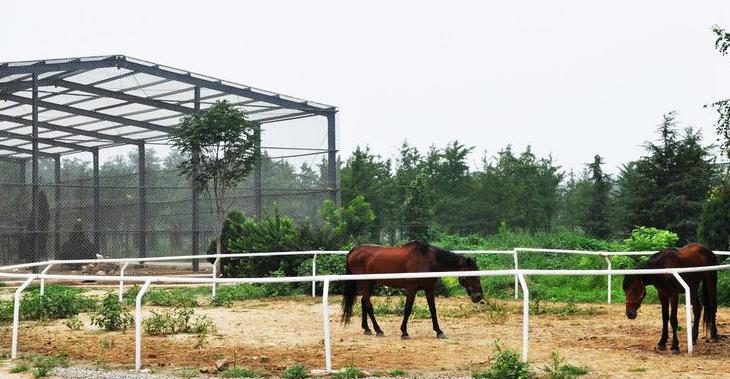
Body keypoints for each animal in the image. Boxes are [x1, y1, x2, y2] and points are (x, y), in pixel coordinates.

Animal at [342, 243, 484, 342]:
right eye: (472, 276)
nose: (478, 296)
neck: (427, 260)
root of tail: (354, 250)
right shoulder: (411, 289)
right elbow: (408, 309)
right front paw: (404, 332)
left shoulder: (429, 289)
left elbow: (433, 309)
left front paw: (439, 331)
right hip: (364, 283)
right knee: (368, 305)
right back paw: (378, 330)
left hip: (370, 283)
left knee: (364, 302)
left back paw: (367, 328)